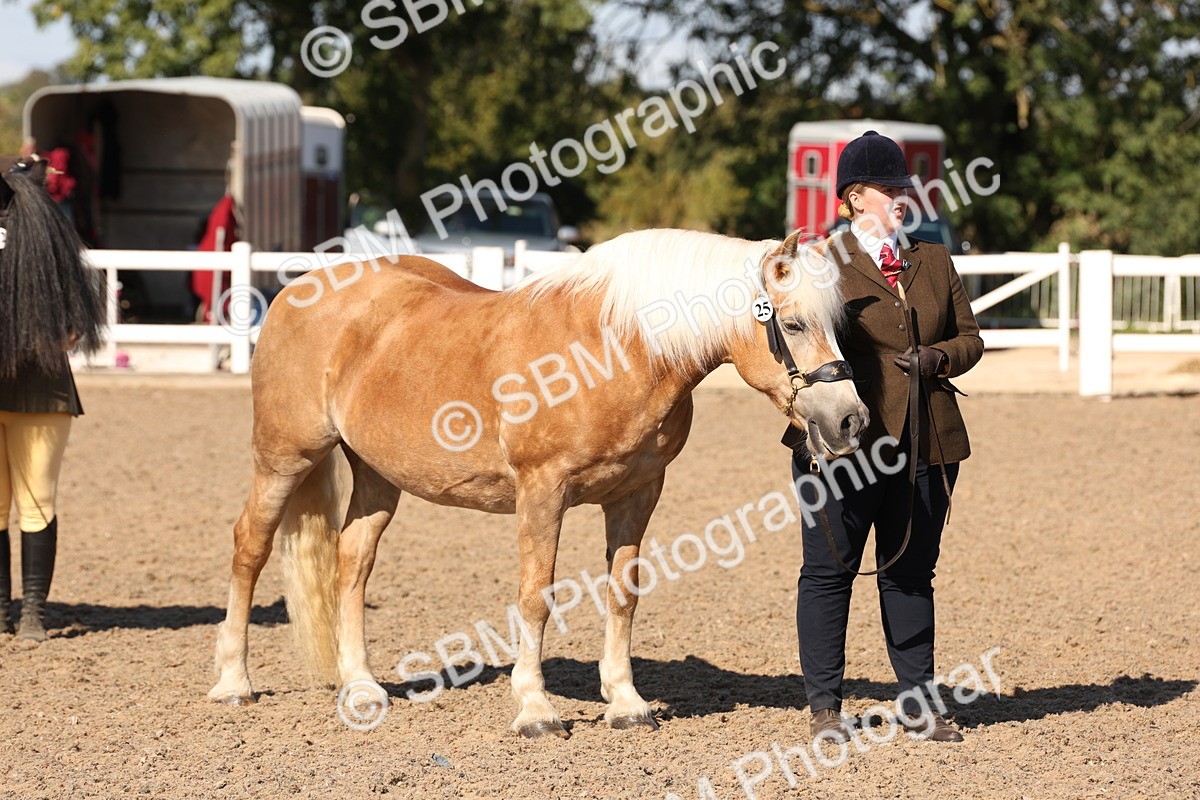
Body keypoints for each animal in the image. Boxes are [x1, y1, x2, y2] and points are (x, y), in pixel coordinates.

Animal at [208, 227, 868, 738]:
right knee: (250, 547)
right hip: (284, 458)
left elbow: (623, 593)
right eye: (794, 323)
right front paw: (535, 708)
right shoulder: (542, 492)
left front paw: (626, 703)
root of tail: (298, 289)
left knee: (352, 562)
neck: (612, 349)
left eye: (838, 324)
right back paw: (234, 681)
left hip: (376, 476)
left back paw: (362, 688)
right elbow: (536, 594)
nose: (850, 420)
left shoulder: (636, 495)